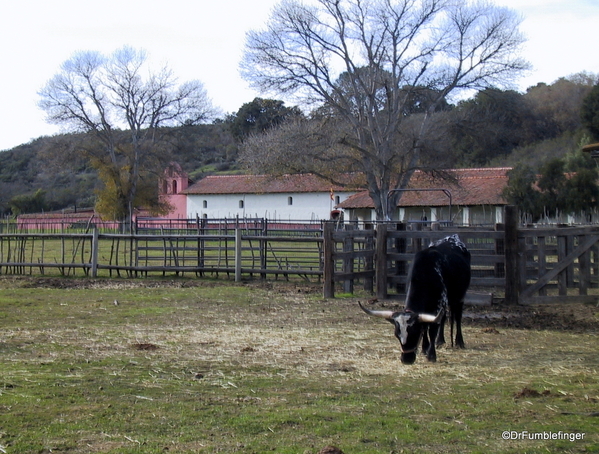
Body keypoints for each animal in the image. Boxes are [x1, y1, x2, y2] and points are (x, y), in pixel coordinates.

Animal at [358, 234, 472, 366]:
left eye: (414, 333)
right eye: (397, 335)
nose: (406, 360)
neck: (425, 273)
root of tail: (452, 237)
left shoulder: (438, 305)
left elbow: (432, 330)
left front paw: (431, 355)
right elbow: (426, 326)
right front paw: (424, 348)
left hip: (460, 296)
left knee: (457, 317)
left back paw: (459, 342)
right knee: (443, 318)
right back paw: (440, 341)